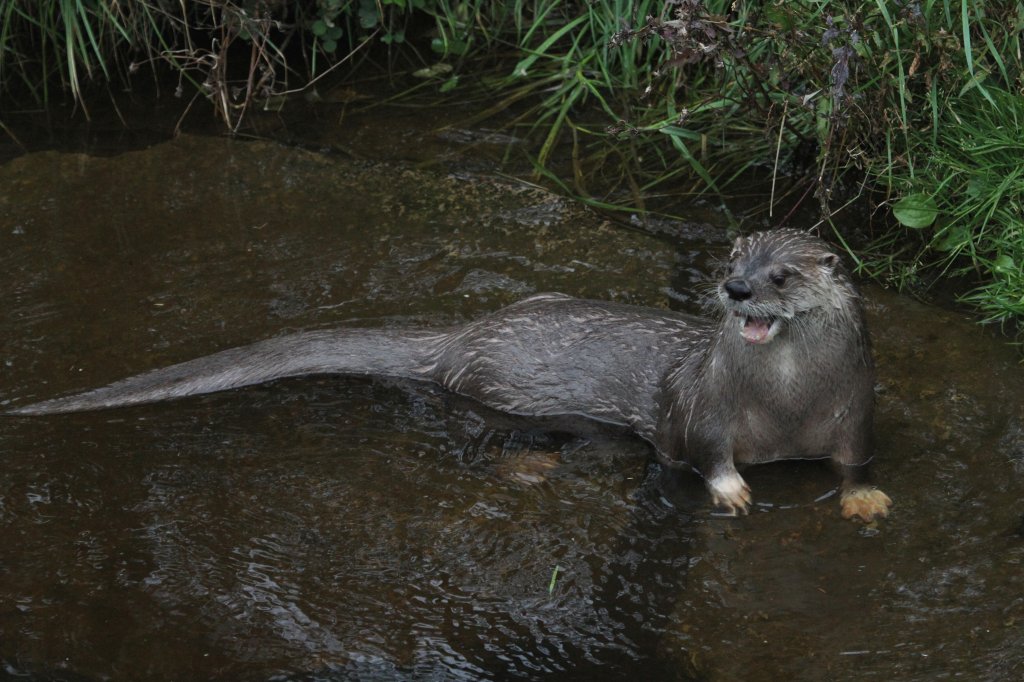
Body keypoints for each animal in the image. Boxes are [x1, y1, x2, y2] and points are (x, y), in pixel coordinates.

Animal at [6, 228, 888, 520]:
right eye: (734, 257)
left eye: (782, 274)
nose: (737, 288)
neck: (786, 408)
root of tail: (460, 336)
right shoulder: (702, 410)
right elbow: (701, 453)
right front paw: (733, 491)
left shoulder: (852, 408)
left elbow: (853, 459)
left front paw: (864, 499)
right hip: (498, 389)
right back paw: (529, 466)